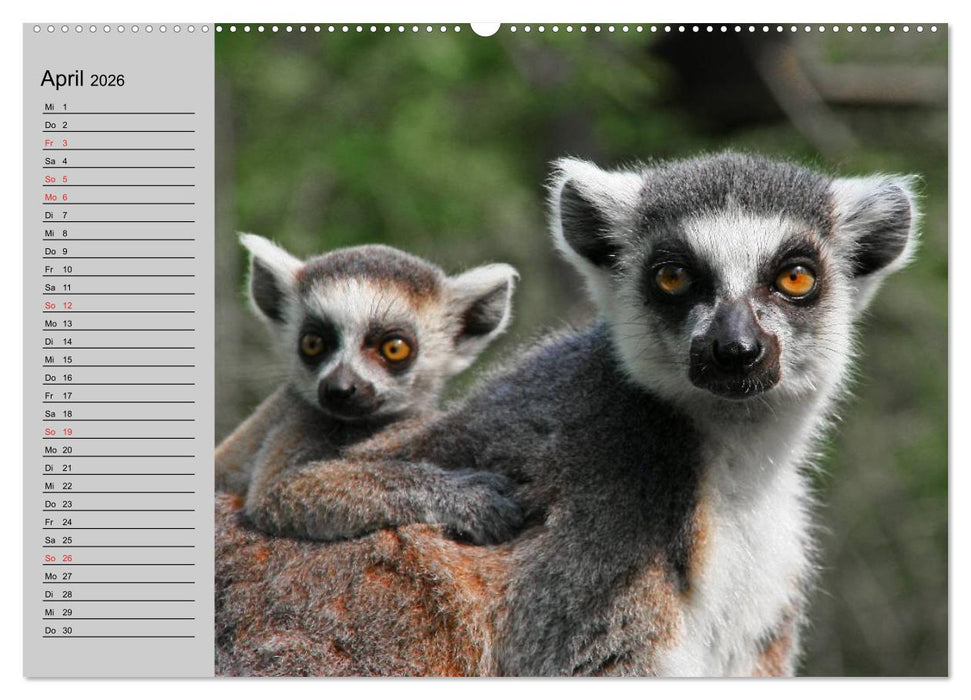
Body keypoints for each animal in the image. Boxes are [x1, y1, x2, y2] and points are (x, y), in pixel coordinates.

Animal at [215, 234, 523, 546]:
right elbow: (280, 489)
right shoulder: (300, 418)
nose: (339, 389)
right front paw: (465, 497)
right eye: (313, 343)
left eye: (394, 348)